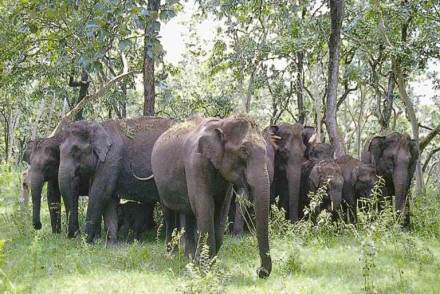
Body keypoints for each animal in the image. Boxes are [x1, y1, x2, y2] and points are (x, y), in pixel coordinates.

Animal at [153, 113, 274, 280]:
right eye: (243, 150)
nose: (259, 271)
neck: (221, 124)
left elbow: (221, 208)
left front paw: (209, 265)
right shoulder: (196, 163)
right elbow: (205, 205)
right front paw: (205, 269)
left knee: (189, 214)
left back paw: (189, 259)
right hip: (160, 184)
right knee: (169, 213)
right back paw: (172, 257)